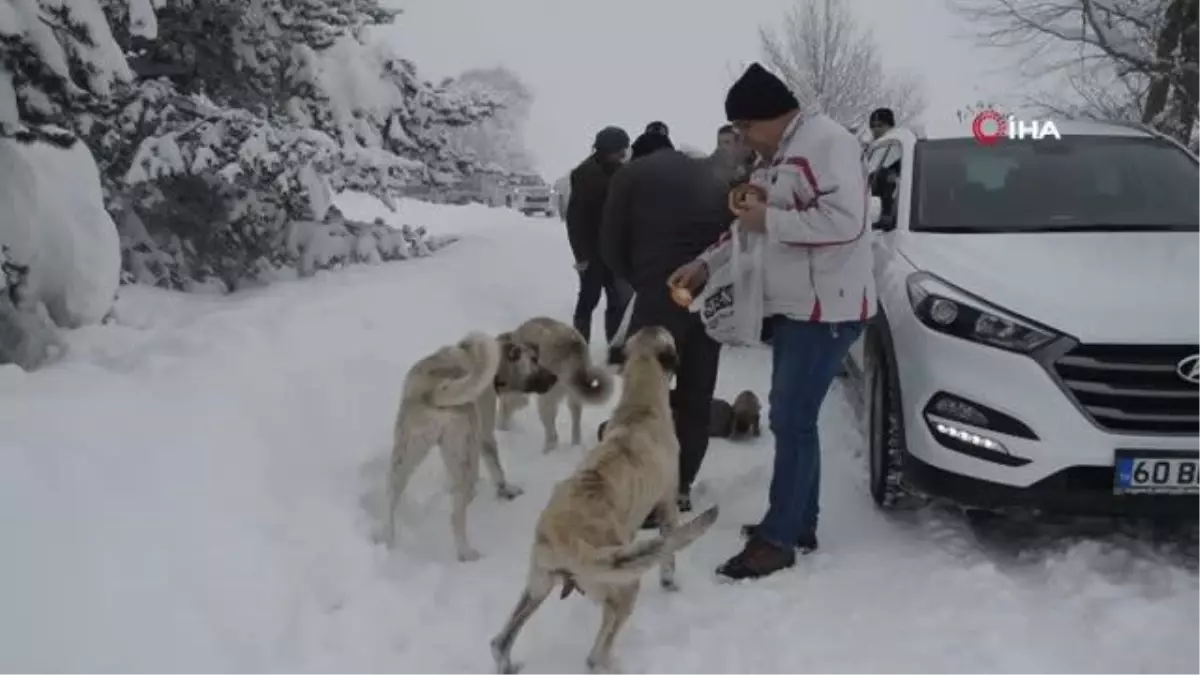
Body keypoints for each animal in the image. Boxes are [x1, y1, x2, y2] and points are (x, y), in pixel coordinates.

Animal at [384, 329, 556, 557]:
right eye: (534, 359)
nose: (555, 378)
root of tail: (435, 391)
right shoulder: (485, 432)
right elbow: (497, 469)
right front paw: (506, 490)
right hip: (467, 457)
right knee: (456, 516)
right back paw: (466, 552)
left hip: (406, 455)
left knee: (391, 498)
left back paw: (388, 540)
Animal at [496, 314, 614, 451]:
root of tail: (573, 346)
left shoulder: (515, 393)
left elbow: (505, 411)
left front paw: (501, 430)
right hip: (574, 398)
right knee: (575, 427)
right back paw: (574, 446)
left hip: (546, 401)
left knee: (553, 436)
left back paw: (546, 452)